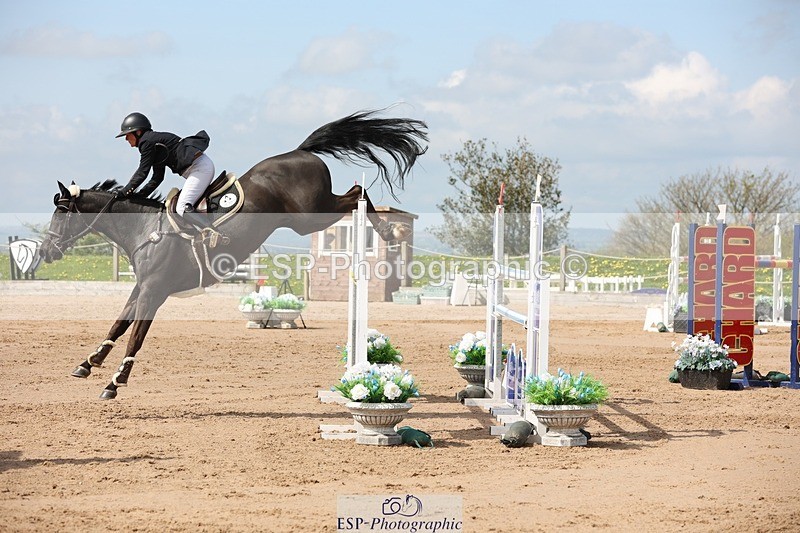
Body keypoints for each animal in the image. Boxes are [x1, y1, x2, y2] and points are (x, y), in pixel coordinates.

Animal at [39, 110, 428, 399]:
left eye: (60, 213)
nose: (45, 251)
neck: (144, 230)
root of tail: (300, 150)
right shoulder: (142, 287)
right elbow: (119, 323)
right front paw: (88, 363)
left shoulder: (155, 290)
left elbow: (136, 334)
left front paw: (115, 382)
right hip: (308, 216)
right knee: (354, 193)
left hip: (310, 216)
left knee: (357, 193)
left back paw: (389, 231)